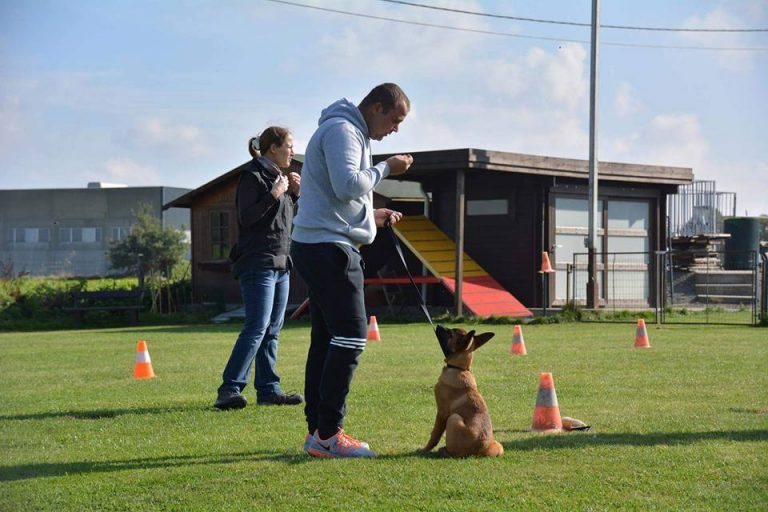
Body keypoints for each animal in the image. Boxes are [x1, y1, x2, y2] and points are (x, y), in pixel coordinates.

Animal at [420, 326, 504, 458]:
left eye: (450, 333)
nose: (438, 325)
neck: (459, 369)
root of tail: (481, 450)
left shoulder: (442, 413)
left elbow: (434, 435)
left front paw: (425, 449)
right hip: (498, 445)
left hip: (453, 418)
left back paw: (445, 451)